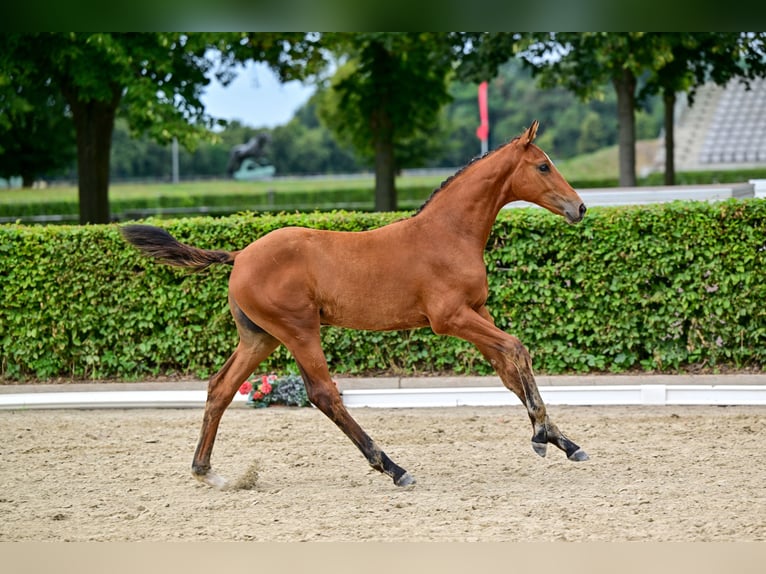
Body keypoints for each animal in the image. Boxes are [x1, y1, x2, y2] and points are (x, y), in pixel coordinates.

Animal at [121, 120, 589, 489]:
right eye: (543, 165)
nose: (580, 207)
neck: (447, 233)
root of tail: (240, 256)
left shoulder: (478, 311)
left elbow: (508, 372)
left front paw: (563, 442)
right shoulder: (450, 318)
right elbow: (516, 349)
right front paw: (543, 435)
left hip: (260, 338)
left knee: (220, 388)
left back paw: (207, 472)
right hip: (298, 330)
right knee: (323, 394)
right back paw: (393, 467)